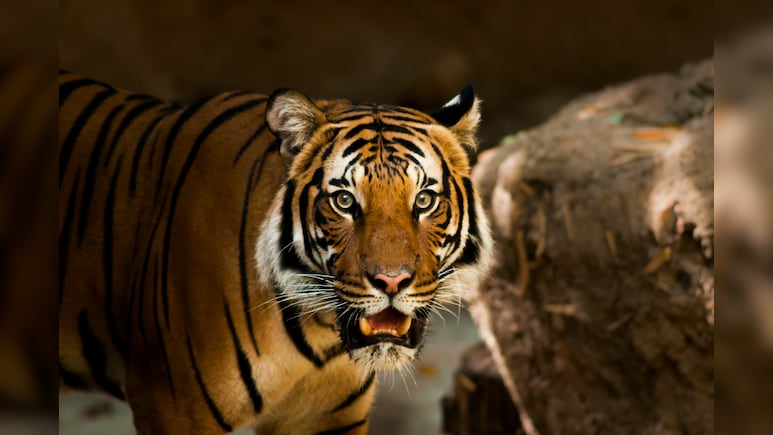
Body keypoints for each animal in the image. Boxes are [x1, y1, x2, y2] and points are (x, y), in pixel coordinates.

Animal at [58, 71, 494, 434]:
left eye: (423, 200)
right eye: (344, 201)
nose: (391, 281)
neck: (317, 334)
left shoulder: (327, 418)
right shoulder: (173, 408)